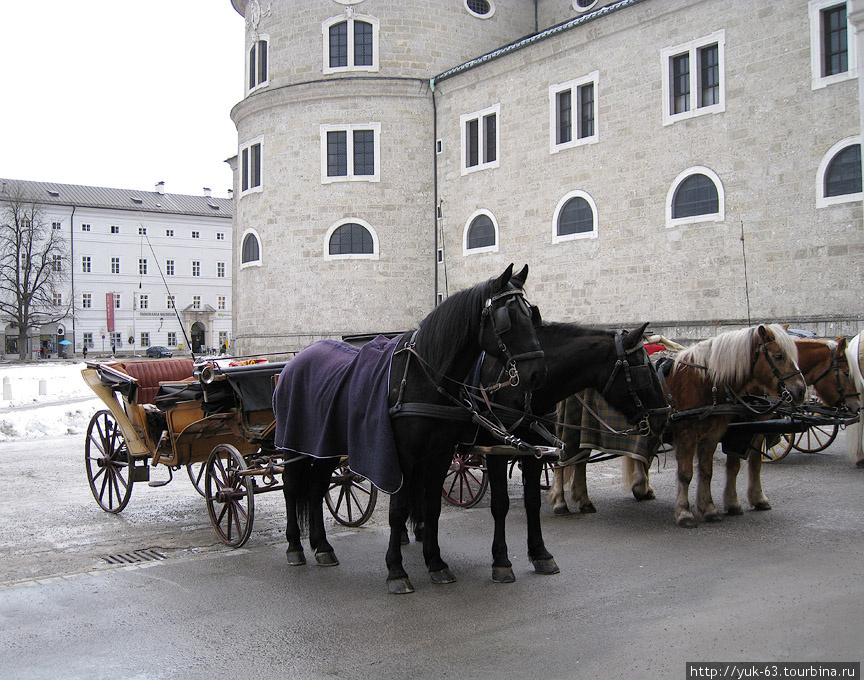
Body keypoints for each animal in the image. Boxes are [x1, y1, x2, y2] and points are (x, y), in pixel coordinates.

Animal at [276, 262, 548, 592]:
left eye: (531, 314)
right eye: (507, 318)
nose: (536, 374)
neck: (425, 376)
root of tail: (294, 361)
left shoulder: (439, 455)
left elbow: (432, 507)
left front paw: (435, 562)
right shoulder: (401, 457)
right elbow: (397, 510)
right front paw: (396, 569)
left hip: (326, 446)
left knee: (316, 488)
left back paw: (322, 546)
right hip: (294, 445)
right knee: (292, 486)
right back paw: (294, 546)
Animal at [472, 322, 668, 580]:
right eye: (644, 370)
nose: (664, 417)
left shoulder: (533, 451)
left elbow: (532, 501)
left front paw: (541, 554)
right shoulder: (496, 449)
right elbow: (500, 504)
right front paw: (501, 560)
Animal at [552, 324, 808, 524]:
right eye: (778, 356)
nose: (800, 390)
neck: (704, 382)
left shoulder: (715, 435)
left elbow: (709, 471)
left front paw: (710, 508)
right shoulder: (688, 434)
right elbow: (687, 473)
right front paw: (685, 512)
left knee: (580, 462)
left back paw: (584, 499)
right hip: (570, 428)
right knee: (564, 461)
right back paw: (560, 502)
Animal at [724, 338, 860, 512]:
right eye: (847, 373)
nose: (857, 406)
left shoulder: (759, 425)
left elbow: (755, 463)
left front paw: (758, 498)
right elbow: (734, 464)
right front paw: (732, 503)